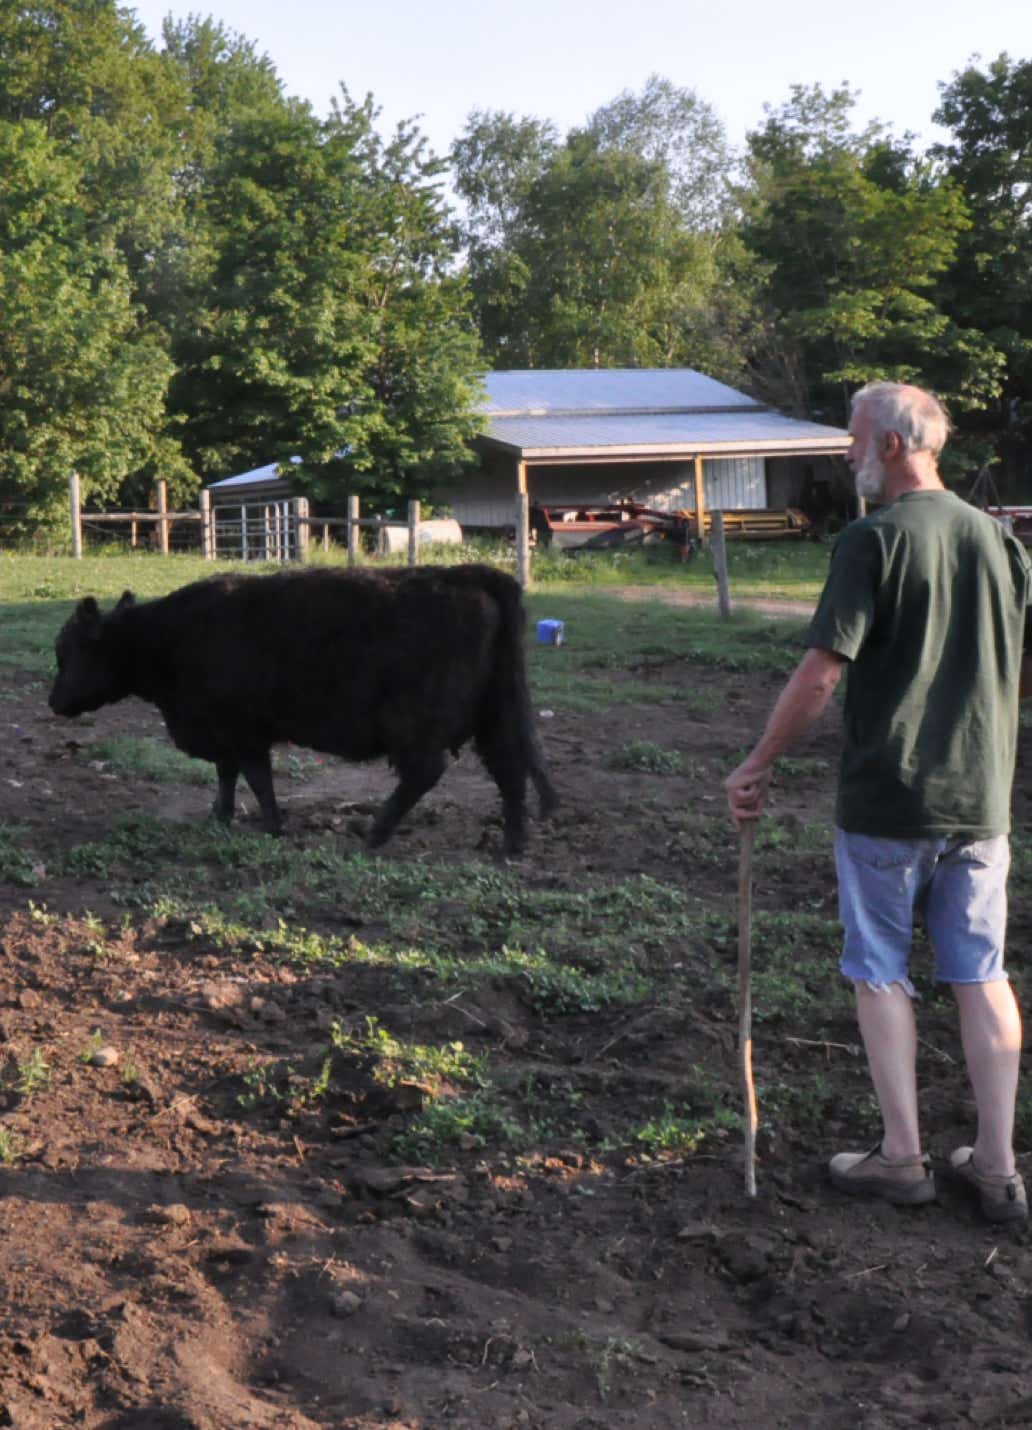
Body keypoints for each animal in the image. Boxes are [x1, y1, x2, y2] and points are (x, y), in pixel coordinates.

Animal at [49, 563, 559, 855]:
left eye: (67, 651)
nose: (54, 702)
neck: (169, 637)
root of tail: (467, 573)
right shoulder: (224, 732)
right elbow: (227, 775)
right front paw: (221, 816)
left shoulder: (244, 732)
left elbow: (256, 777)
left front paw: (272, 826)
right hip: (494, 715)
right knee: (509, 769)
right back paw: (512, 844)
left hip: (415, 725)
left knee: (425, 774)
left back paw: (374, 835)